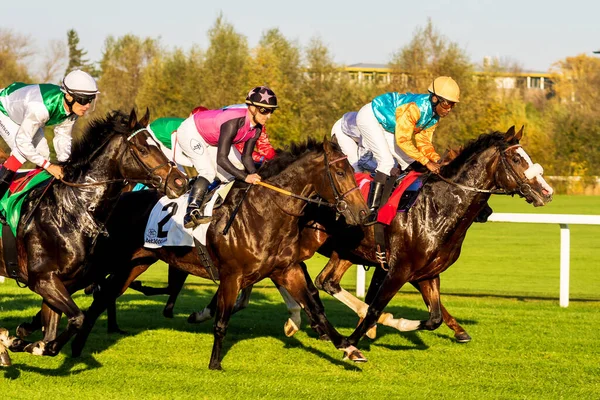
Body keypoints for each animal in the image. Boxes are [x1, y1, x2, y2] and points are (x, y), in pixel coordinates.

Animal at [0, 108, 188, 366]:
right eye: (143, 149)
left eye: (158, 145)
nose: (181, 182)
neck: (70, 210)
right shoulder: (43, 279)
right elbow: (77, 318)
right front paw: (18, 342)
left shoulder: (62, 281)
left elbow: (53, 332)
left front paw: (24, 342)